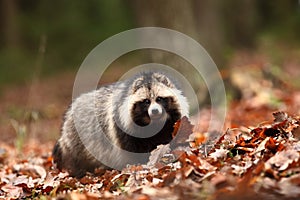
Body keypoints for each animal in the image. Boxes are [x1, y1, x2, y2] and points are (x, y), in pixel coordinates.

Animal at [52, 71, 189, 177]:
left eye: (159, 99)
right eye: (146, 101)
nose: (155, 111)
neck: (153, 124)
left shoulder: (170, 124)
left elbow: (167, 138)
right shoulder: (122, 128)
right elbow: (132, 150)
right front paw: (140, 163)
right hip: (76, 141)